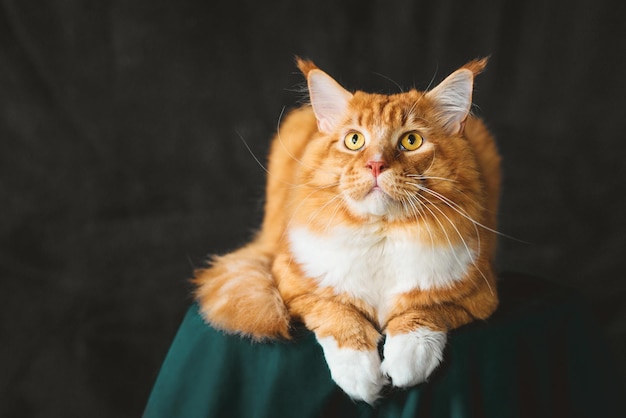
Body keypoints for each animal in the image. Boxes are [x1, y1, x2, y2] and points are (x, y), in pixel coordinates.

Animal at [193, 57, 500, 404]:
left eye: (411, 141)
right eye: (355, 140)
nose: (376, 165)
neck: (381, 236)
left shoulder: (477, 295)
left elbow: (423, 311)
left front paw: (408, 359)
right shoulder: (296, 286)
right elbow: (338, 314)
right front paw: (360, 374)